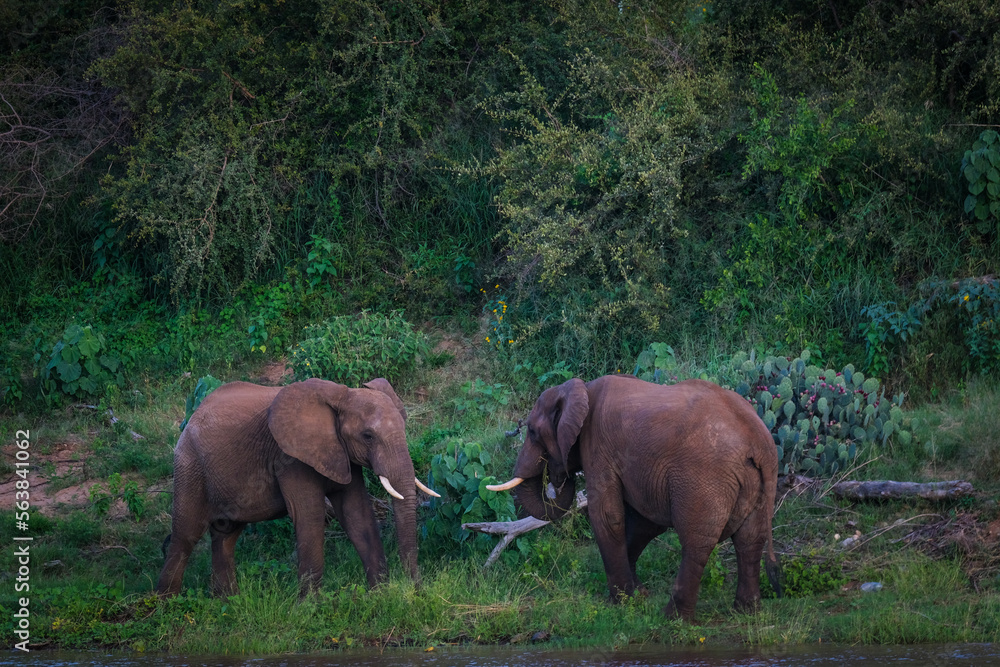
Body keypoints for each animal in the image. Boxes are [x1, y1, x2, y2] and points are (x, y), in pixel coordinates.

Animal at [156, 377, 438, 597]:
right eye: (368, 436)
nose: (416, 590)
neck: (342, 395)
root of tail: (191, 418)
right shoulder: (289, 458)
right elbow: (309, 515)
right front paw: (311, 607)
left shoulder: (342, 454)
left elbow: (356, 513)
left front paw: (380, 594)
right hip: (190, 465)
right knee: (186, 535)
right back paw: (166, 606)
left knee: (226, 535)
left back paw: (228, 602)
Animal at [488, 375, 781, 621]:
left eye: (532, 432)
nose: (559, 476)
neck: (580, 388)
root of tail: (758, 441)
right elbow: (645, 524)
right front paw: (639, 595)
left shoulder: (598, 446)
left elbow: (608, 517)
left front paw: (621, 601)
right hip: (756, 481)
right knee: (750, 540)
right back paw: (746, 612)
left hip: (705, 479)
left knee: (696, 542)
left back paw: (673, 618)